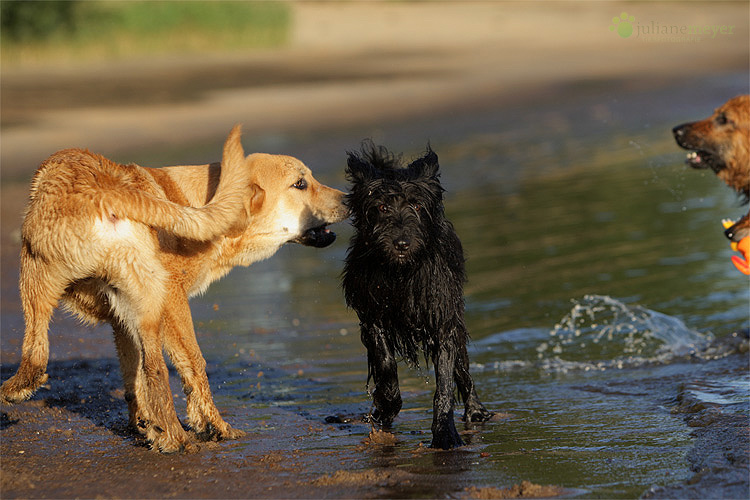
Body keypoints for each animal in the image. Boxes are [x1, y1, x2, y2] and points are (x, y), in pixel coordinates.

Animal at [0, 126, 350, 454]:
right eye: (300, 184)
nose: (349, 198)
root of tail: (103, 189)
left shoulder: (131, 314)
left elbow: (143, 375)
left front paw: (153, 423)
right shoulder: (163, 304)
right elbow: (186, 367)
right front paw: (200, 425)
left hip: (53, 283)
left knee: (52, 358)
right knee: (156, 368)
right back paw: (183, 434)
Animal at [342, 141, 494, 450]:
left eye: (417, 205)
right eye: (382, 206)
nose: (401, 243)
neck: (401, 273)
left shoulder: (443, 323)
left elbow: (445, 383)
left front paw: (444, 433)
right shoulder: (373, 316)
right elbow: (385, 364)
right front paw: (386, 404)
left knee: (464, 371)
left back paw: (475, 410)